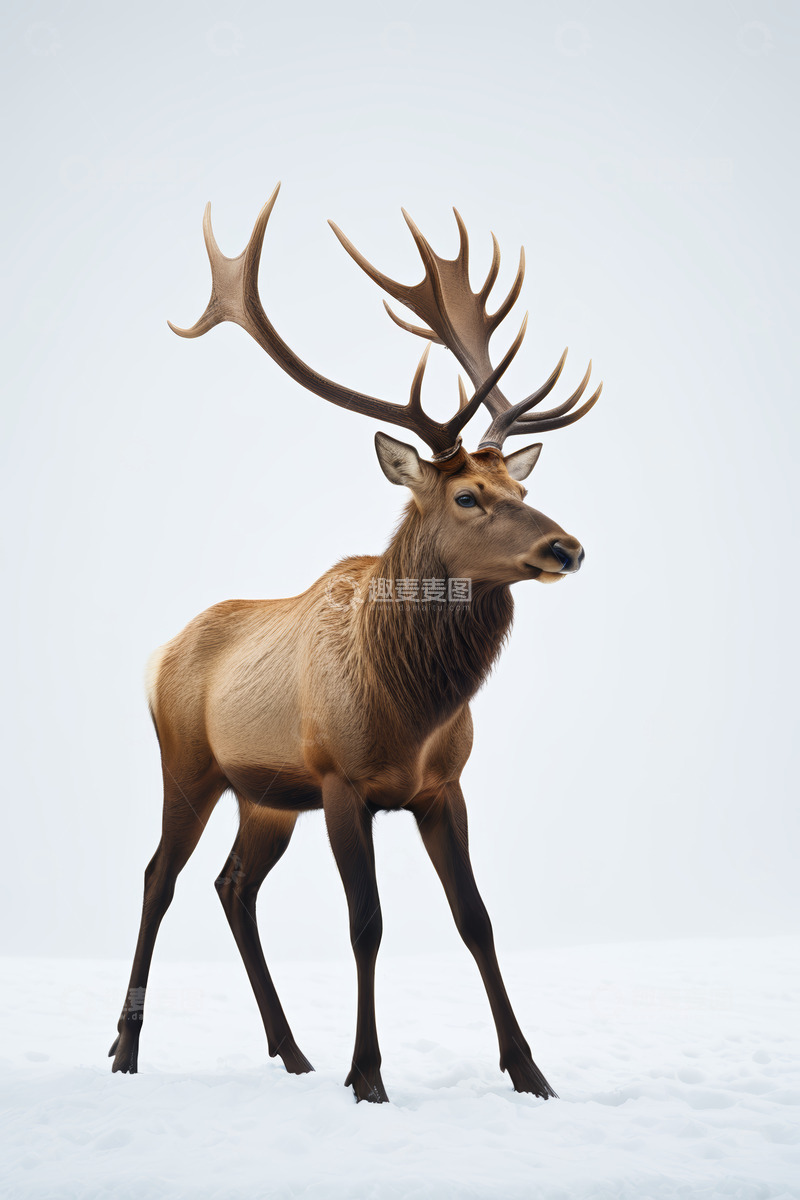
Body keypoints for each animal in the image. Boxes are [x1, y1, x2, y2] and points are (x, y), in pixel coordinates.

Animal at [109, 184, 601, 1103]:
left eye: (521, 488)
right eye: (469, 497)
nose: (567, 547)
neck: (411, 706)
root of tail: (159, 653)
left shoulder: (443, 787)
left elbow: (476, 918)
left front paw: (530, 1071)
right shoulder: (342, 782)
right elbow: (366, 922)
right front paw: (368, 1075)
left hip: (266, 795)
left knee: (232, 886)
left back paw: (291, 1051)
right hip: (188, 764)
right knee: (160, 875)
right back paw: (125, 1049)